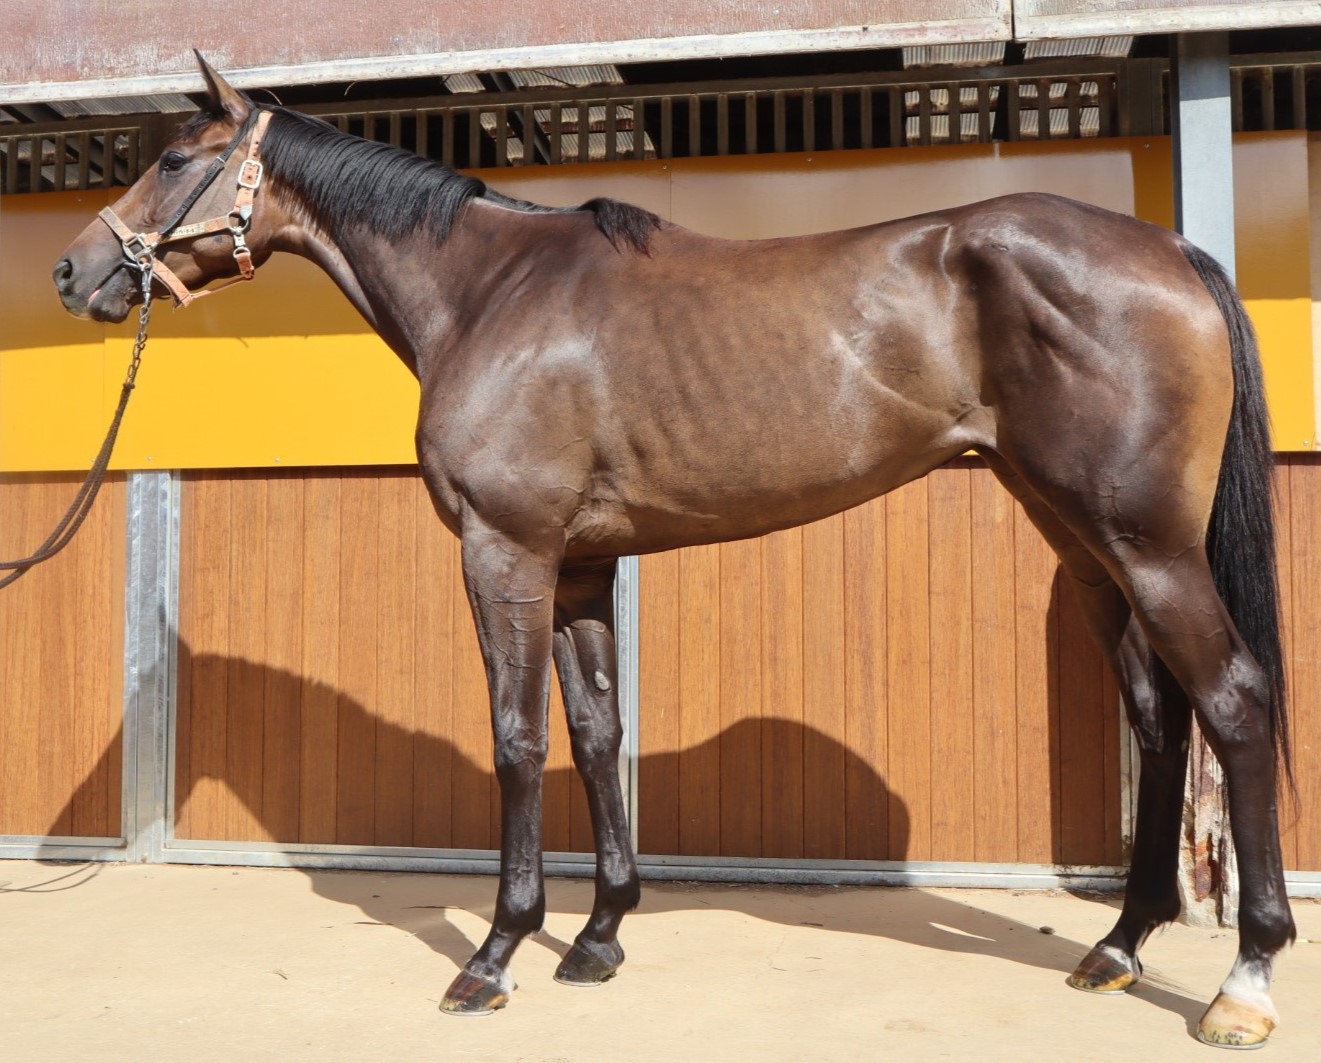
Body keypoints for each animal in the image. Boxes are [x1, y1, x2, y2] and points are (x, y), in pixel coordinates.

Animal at [53, 56, 1295, 1048]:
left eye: (175, 159)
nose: (74, 272)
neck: (489, 295)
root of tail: (1171, 250)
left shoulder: (506, 554)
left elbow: (517, 740)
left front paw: (495, 954)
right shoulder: (580, 567)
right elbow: (597, 734)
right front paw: (599, 935)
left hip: (1148, 546)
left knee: (1233, 700)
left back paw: (1244, 979)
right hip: (1083, 545)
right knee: (1159, 716)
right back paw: (1119, 944)